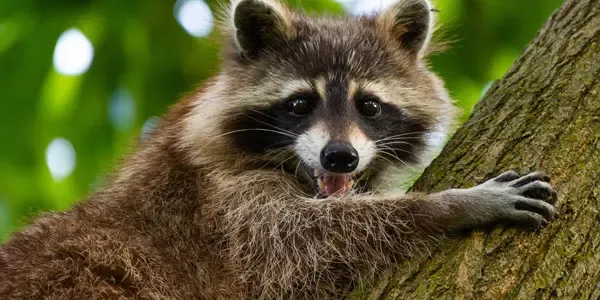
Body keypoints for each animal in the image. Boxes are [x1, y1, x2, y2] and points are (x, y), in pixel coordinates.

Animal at [0, 0, 556, 300]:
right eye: (299, 104)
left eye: (369, 106)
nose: (339, 157)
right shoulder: (220, 207)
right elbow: (301, 244)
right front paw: (449, 205)